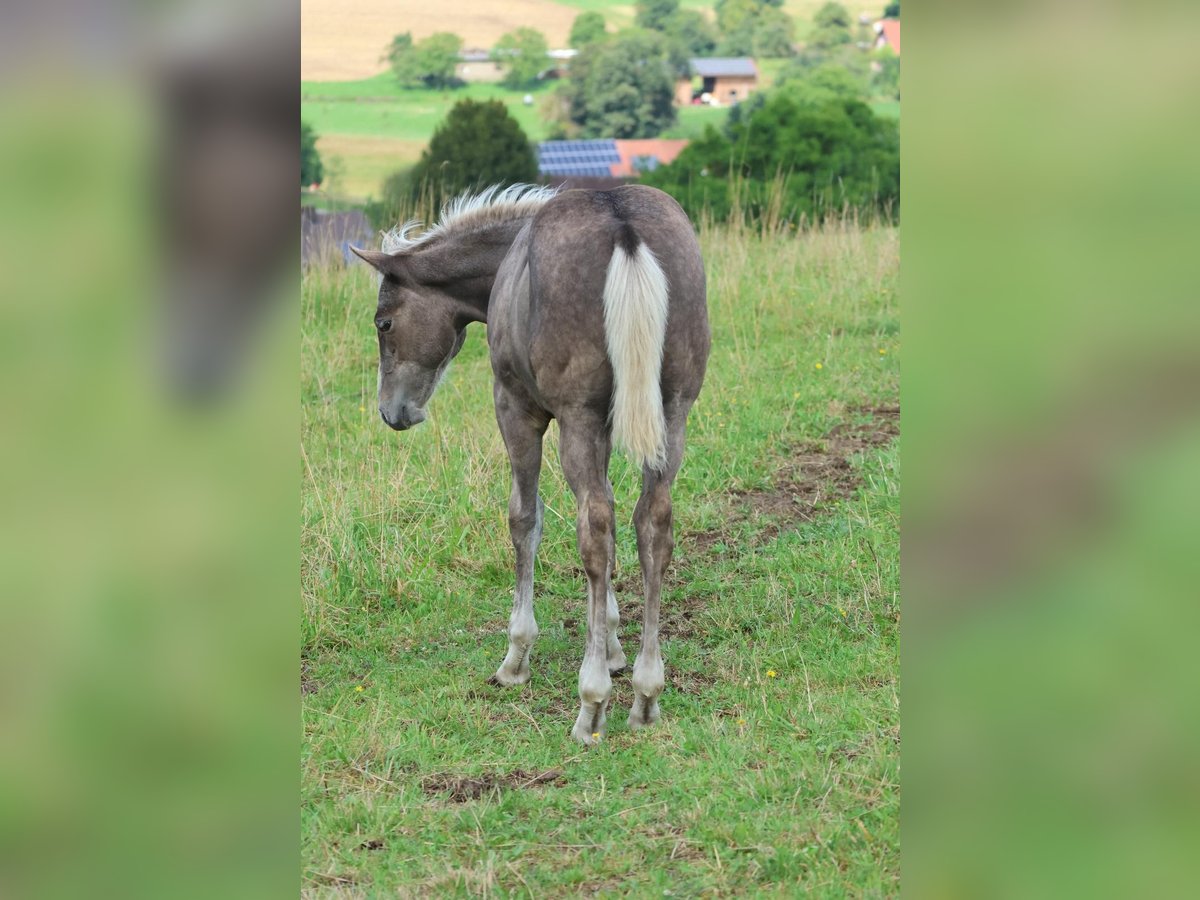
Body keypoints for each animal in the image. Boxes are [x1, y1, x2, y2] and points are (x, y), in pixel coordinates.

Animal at [355, 183, 710, 748]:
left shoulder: (516, 408)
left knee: (595, 530)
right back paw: (646, 693)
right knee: (651, 525)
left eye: (383, 322)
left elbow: (525, 518)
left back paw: (591, 704)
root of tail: (624, 226)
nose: (393, 412)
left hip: (576, 417)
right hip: (671, 414)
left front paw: (517, 656)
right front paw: (612, 646)